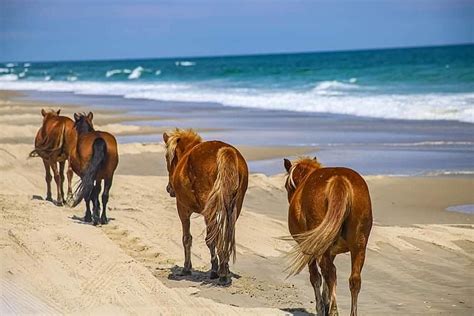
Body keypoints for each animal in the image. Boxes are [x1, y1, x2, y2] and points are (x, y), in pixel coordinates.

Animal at [163, 128, 248, 286]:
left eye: (167, 157)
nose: (169, 189)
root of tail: (225, 151)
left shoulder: (182, 208)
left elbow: (187, 238)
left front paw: (187, 268)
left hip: (209, 211)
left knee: (214, 237)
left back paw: (221, 273)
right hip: (234, 207)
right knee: (225, 234)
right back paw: (224, 268)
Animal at [284, 157, 372, 316]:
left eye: (287, 186)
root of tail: (339, 180)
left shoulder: (309, 249)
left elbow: (316, 278)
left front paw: (321, 307)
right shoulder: (331, 251)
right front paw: (325, 303)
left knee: (330, 273)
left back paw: (333, 311)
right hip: (359, 245)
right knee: (354, 279)